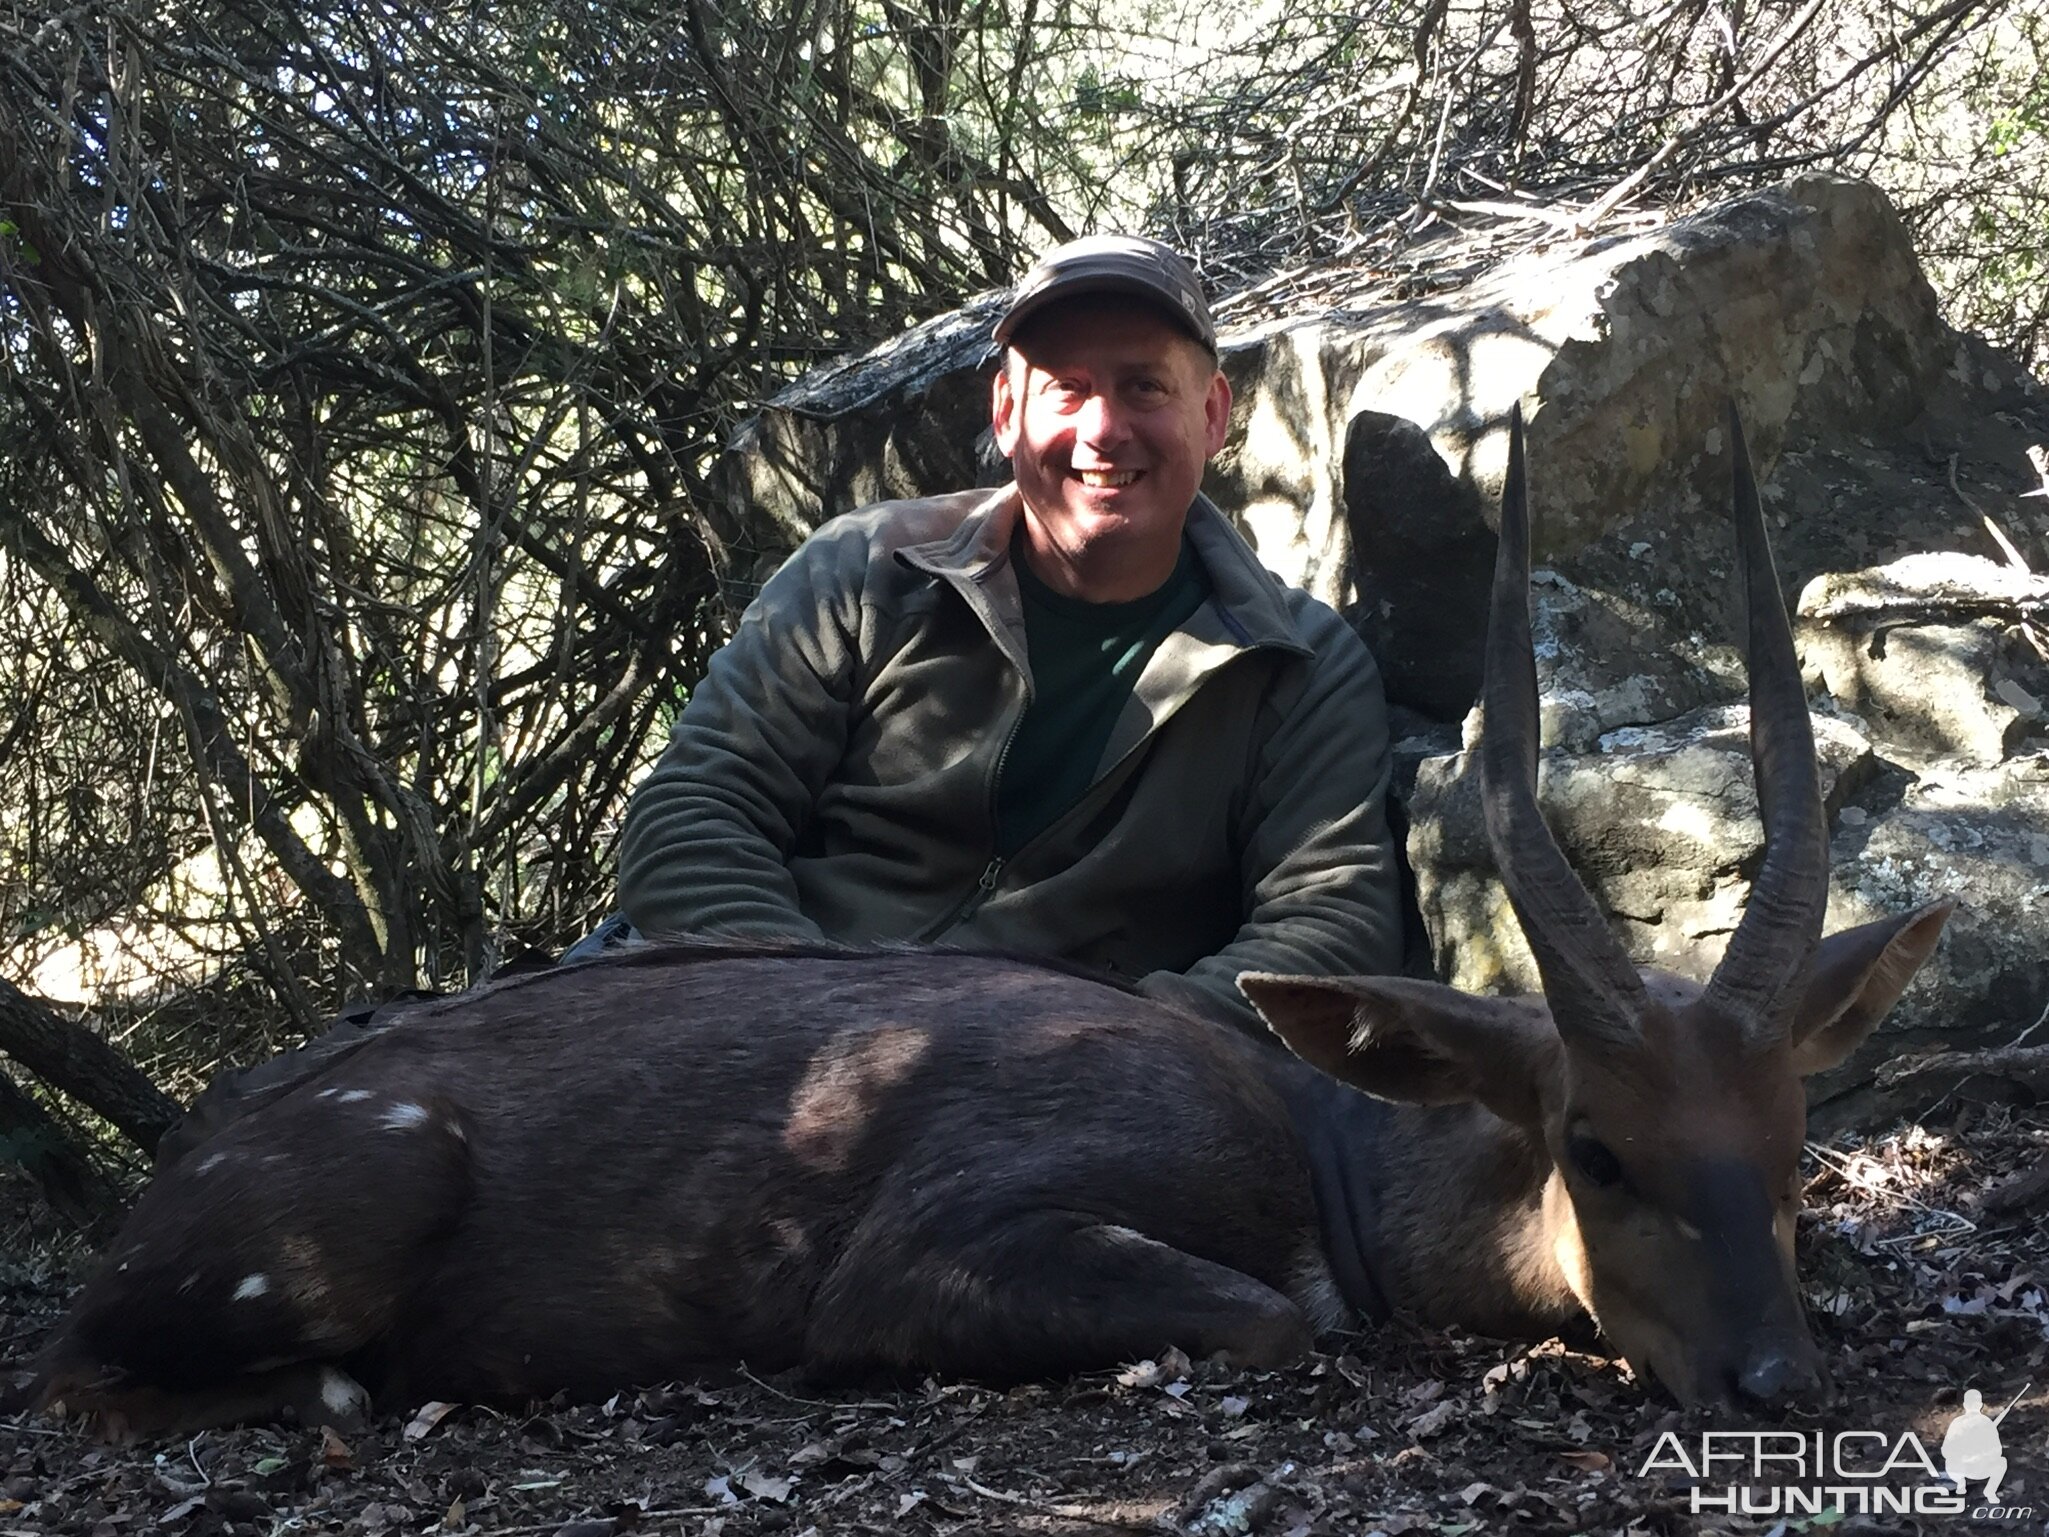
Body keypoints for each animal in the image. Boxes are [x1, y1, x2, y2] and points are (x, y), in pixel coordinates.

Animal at [36, 403, 1950, 1442]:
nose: (1775, 1381)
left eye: (1791, 1141)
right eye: (1595, 1144)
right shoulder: (934, 1251)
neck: (1316, 1153)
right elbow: (1276, 1317)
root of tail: (164, 1190)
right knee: (99, 1372)